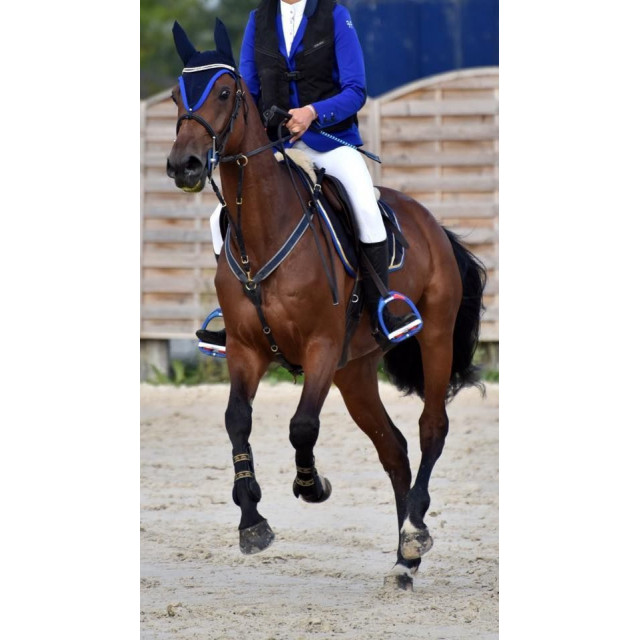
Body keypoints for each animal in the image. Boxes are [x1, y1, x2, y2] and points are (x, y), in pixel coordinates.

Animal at [165, 19, 486, 591]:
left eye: (224, 93)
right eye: (178, 97)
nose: (184, 165)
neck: (263, 228)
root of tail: (432, 223)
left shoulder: (321, 345)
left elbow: (302, 426)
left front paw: (312, 486)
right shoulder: (246, 350)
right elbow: (236, 420)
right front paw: (252, 521)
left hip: (431, 339)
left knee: (431, 429)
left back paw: (414, 534)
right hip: (354, 371)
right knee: (394, 448)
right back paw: (404, 560)